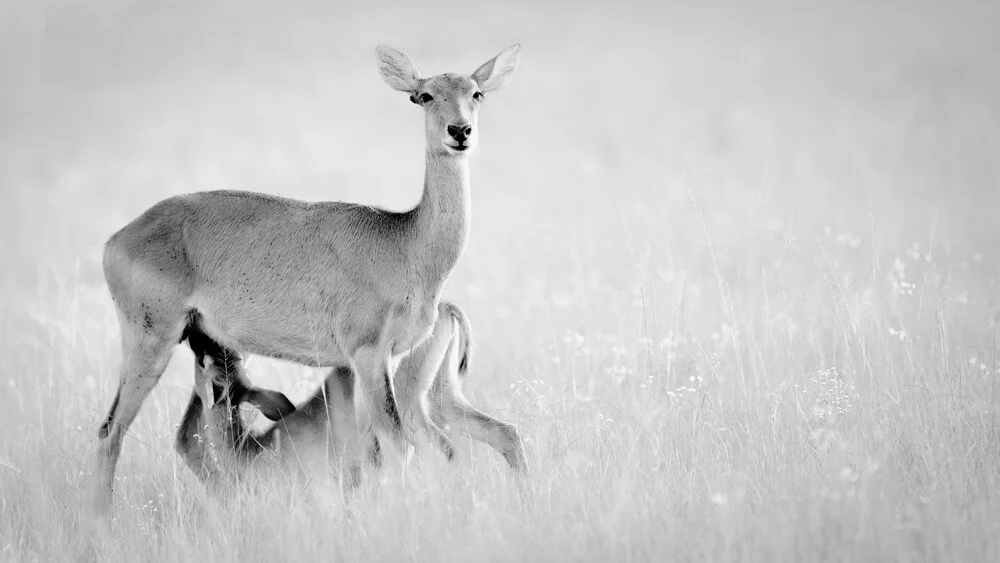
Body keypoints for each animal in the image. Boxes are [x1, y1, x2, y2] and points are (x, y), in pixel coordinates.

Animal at [178, 302, 532, 482]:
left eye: (206, 365)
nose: (196, 334)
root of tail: (446, 308)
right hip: (443, 398)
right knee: (504, 434)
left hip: (409, 407)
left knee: (441, 450)